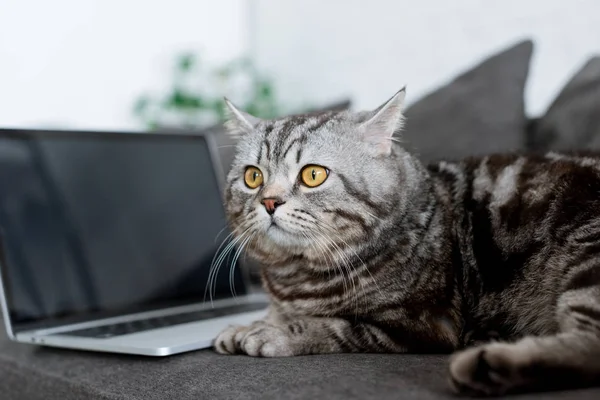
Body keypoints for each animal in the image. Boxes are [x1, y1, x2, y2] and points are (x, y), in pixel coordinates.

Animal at [211, 88, 600, 396]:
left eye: (313, 175)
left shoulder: (424, 324)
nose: (269, 202)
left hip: (586, 254)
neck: (295, 276)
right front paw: (248, 323)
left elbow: (334, 325)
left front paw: (272, 331)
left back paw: (487, 366)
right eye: (252, 177)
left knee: (589, 349)